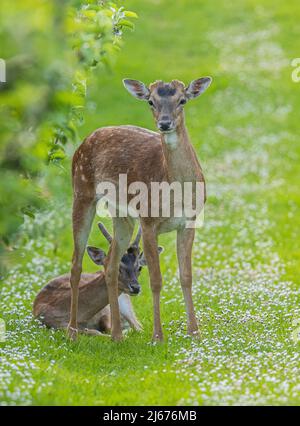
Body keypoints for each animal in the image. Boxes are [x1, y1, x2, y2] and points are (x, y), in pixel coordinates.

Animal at [69, 77, 212, 342]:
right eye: (150, 101)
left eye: (182, 100)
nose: (164, 123)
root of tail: (86, 139)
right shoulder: (148, 221)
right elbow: (156, 280)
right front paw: (157, 336)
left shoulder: (190, 221)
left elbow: (186, 277)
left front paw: (195, 332)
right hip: (81, 191)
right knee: (76, 263)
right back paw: (72, 332)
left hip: (121, 214)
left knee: (111, 264)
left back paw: (117, 335)